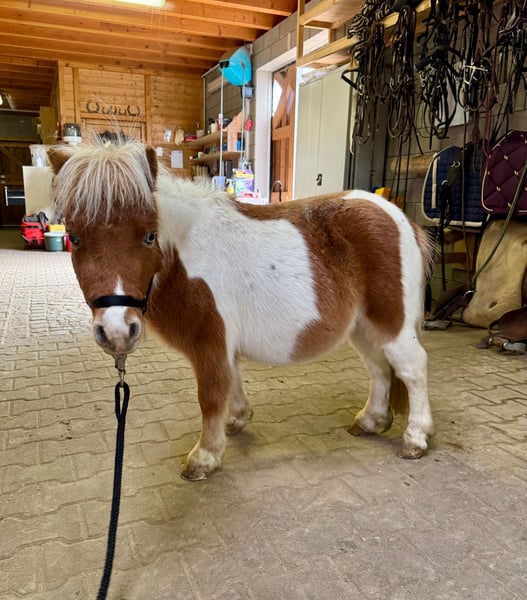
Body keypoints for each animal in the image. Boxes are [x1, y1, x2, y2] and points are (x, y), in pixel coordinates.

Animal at [48, 141, 434, 480]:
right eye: (74, 238)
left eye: (148, 236)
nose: (116, 332)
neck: (184, 254)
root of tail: (399, 216)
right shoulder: (222, 343)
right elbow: (231, 379)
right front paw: (236, 420)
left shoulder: (209, 342)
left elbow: (210, 395)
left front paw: (204, 457)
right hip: (364, 326)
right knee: (380, 368)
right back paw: (370, 421)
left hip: (392, 323)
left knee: (411, 368)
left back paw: (415, 439)